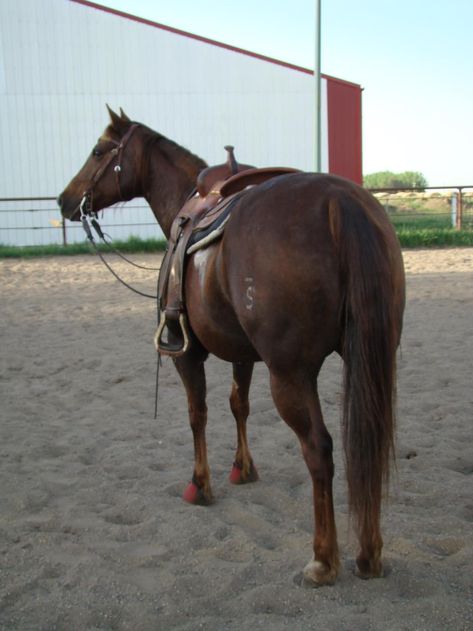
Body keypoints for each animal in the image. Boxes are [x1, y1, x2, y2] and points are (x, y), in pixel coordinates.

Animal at [59, 106, 404, 584]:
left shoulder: (186, 353)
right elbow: (238, 404)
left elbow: (197, 414)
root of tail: (340, 201)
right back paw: (369, 554)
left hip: (290, 374)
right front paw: (243, 468)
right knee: (370, 442)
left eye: (97, 150)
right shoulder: (244, 355)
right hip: (372, 358)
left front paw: (200, 484)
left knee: (319, 449)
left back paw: (322, 559)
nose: (65, 200)